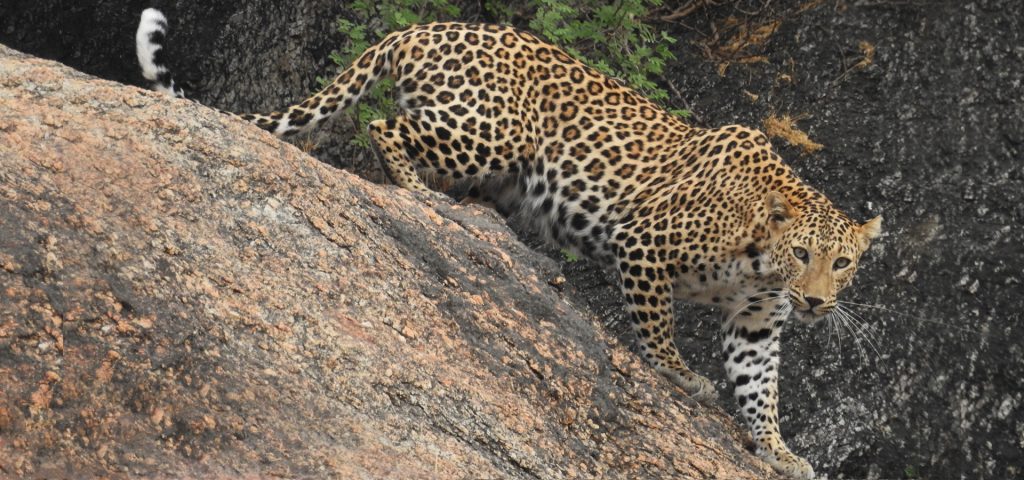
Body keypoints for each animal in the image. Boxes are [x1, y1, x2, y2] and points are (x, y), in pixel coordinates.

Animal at [140, 9, 884, 476]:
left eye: (842, 262)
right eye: (803, 255)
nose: (818, 302)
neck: (761, 260)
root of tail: (424, 26)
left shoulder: (756, 323)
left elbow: (763, 391)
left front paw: (779, 451)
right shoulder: (643, 244)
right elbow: (659, 329)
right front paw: (681, 376)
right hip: (491, 131)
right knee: (385, 126)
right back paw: (420, 192)